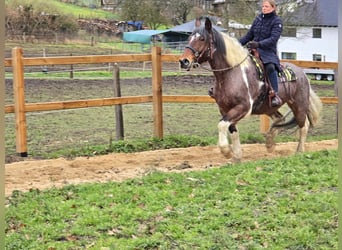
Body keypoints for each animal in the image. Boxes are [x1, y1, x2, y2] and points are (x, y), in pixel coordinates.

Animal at [180, 17, 322, 162]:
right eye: (190, 37)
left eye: (202, 38)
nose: (184, 61)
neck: (231, 73)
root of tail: (303, 73)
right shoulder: (225, 109)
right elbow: (231, 129)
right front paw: (237, 156)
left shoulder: (243, 107)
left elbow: (222, 124)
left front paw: (226, 151)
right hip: (269, 107)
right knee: (280, 119)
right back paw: (270, 143)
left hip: (299, 105)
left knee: (303, 125)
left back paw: (299, 151)